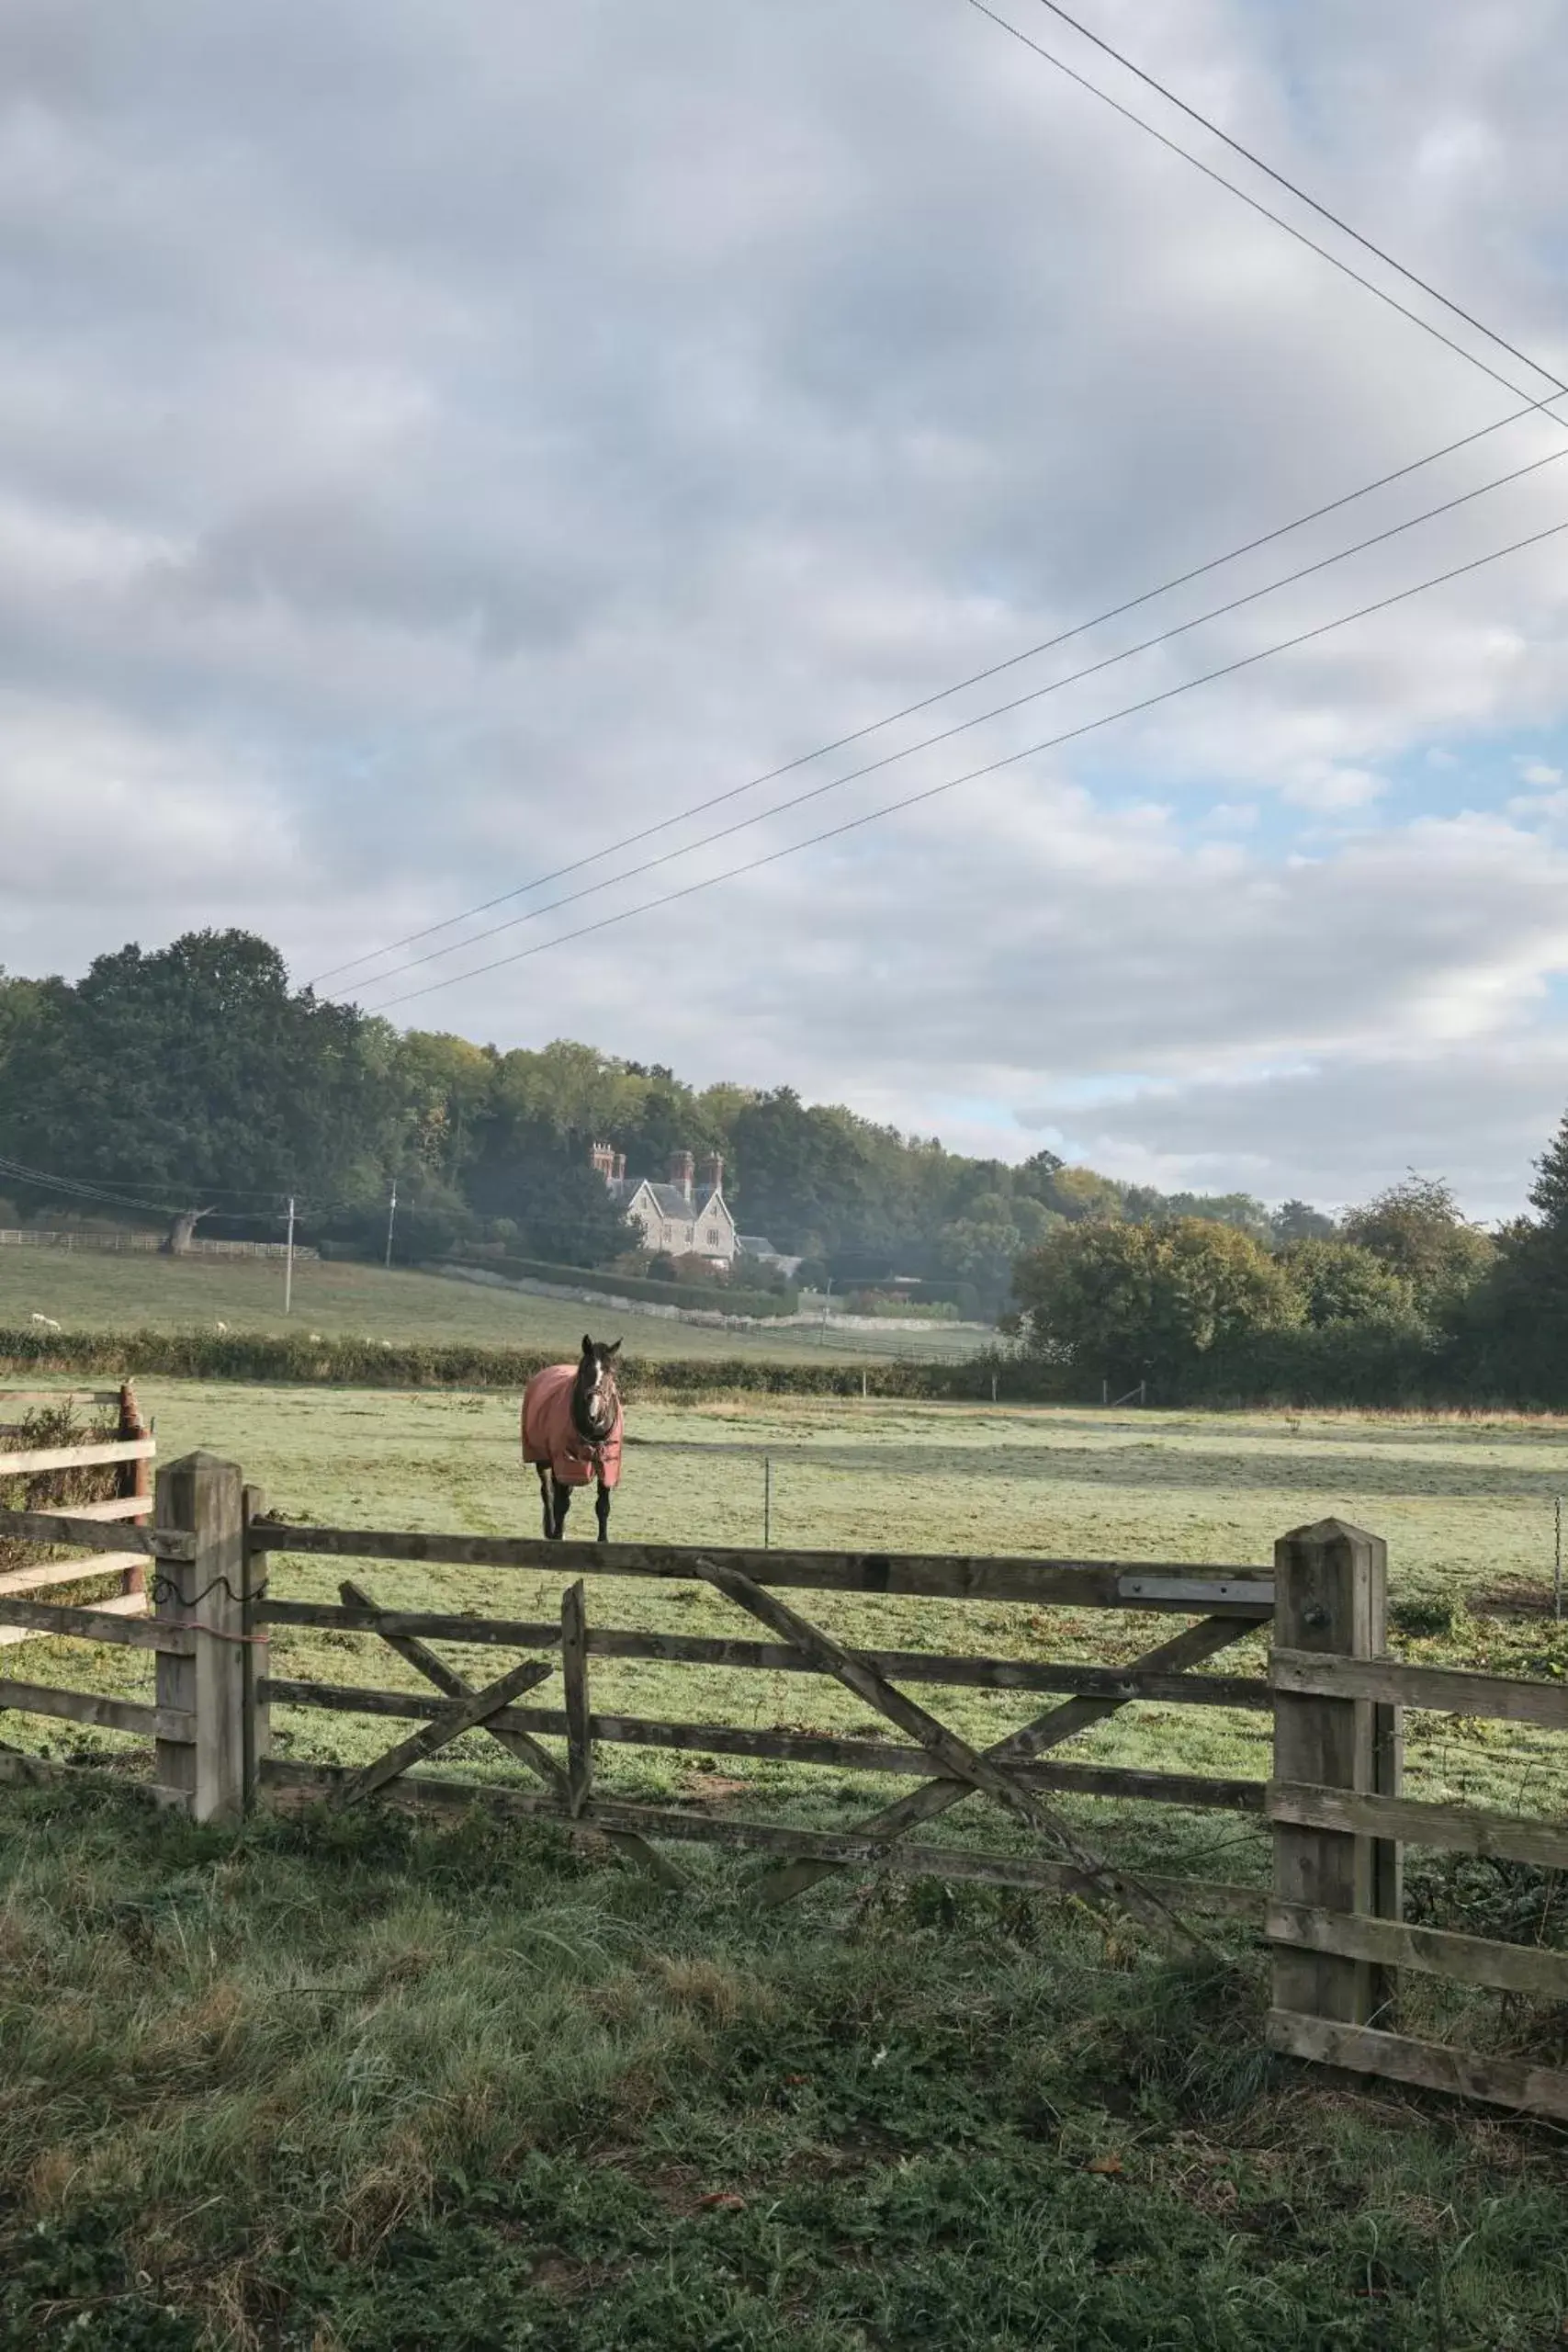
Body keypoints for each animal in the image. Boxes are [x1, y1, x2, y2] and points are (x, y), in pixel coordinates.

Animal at [526, 1345, 625, 1543]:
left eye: (611, 1371)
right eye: (585, 1369)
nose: (594, 1413)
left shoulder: (607, 1464)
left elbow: (603, 1506)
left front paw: (603, 1540)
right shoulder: (564, 1463)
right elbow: (561, 1503)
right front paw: (557, 1535)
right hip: (544, 1461)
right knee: (547, 1493)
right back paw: (552, 1529)